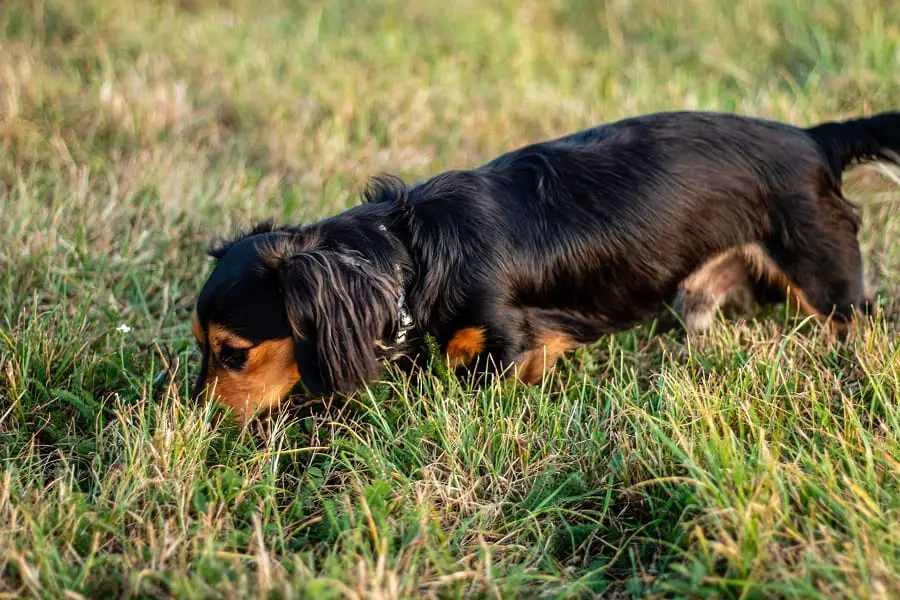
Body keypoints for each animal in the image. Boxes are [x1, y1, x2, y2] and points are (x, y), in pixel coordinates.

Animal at [192, 111, 900, 422]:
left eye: (232, 353)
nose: (198, 419)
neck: (412, 253)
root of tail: (815, 138)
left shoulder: (507, 341)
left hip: (826, 278)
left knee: (857, 322)